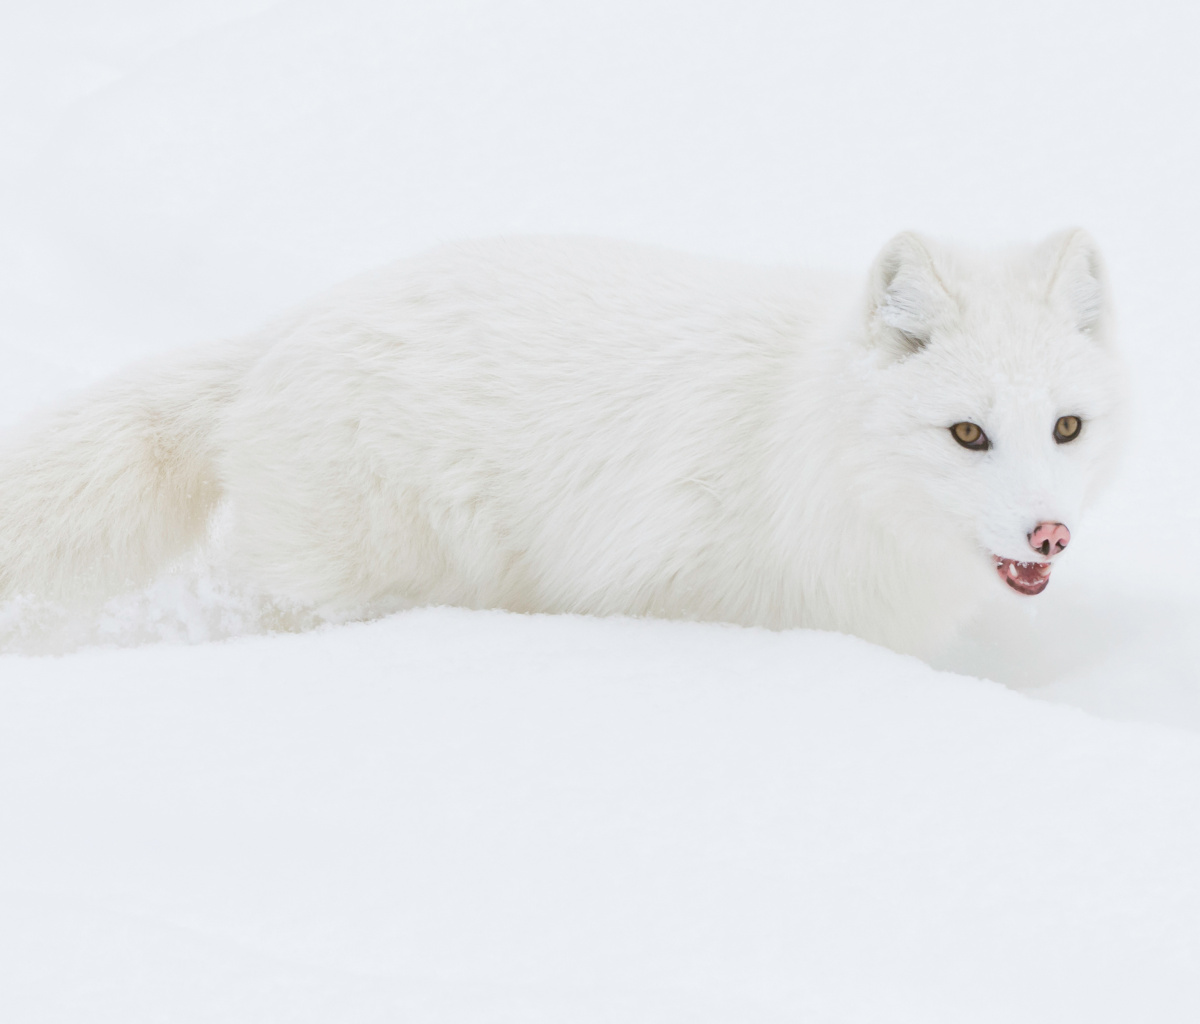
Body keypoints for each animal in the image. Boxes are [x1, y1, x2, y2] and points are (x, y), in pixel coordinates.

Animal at [0, 231, 1123, 653]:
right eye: (968, 432)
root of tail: (284, 332)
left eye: (1067, 427)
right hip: (357, 578)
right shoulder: (656, 585)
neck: (799, 444)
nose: (1051, 534)